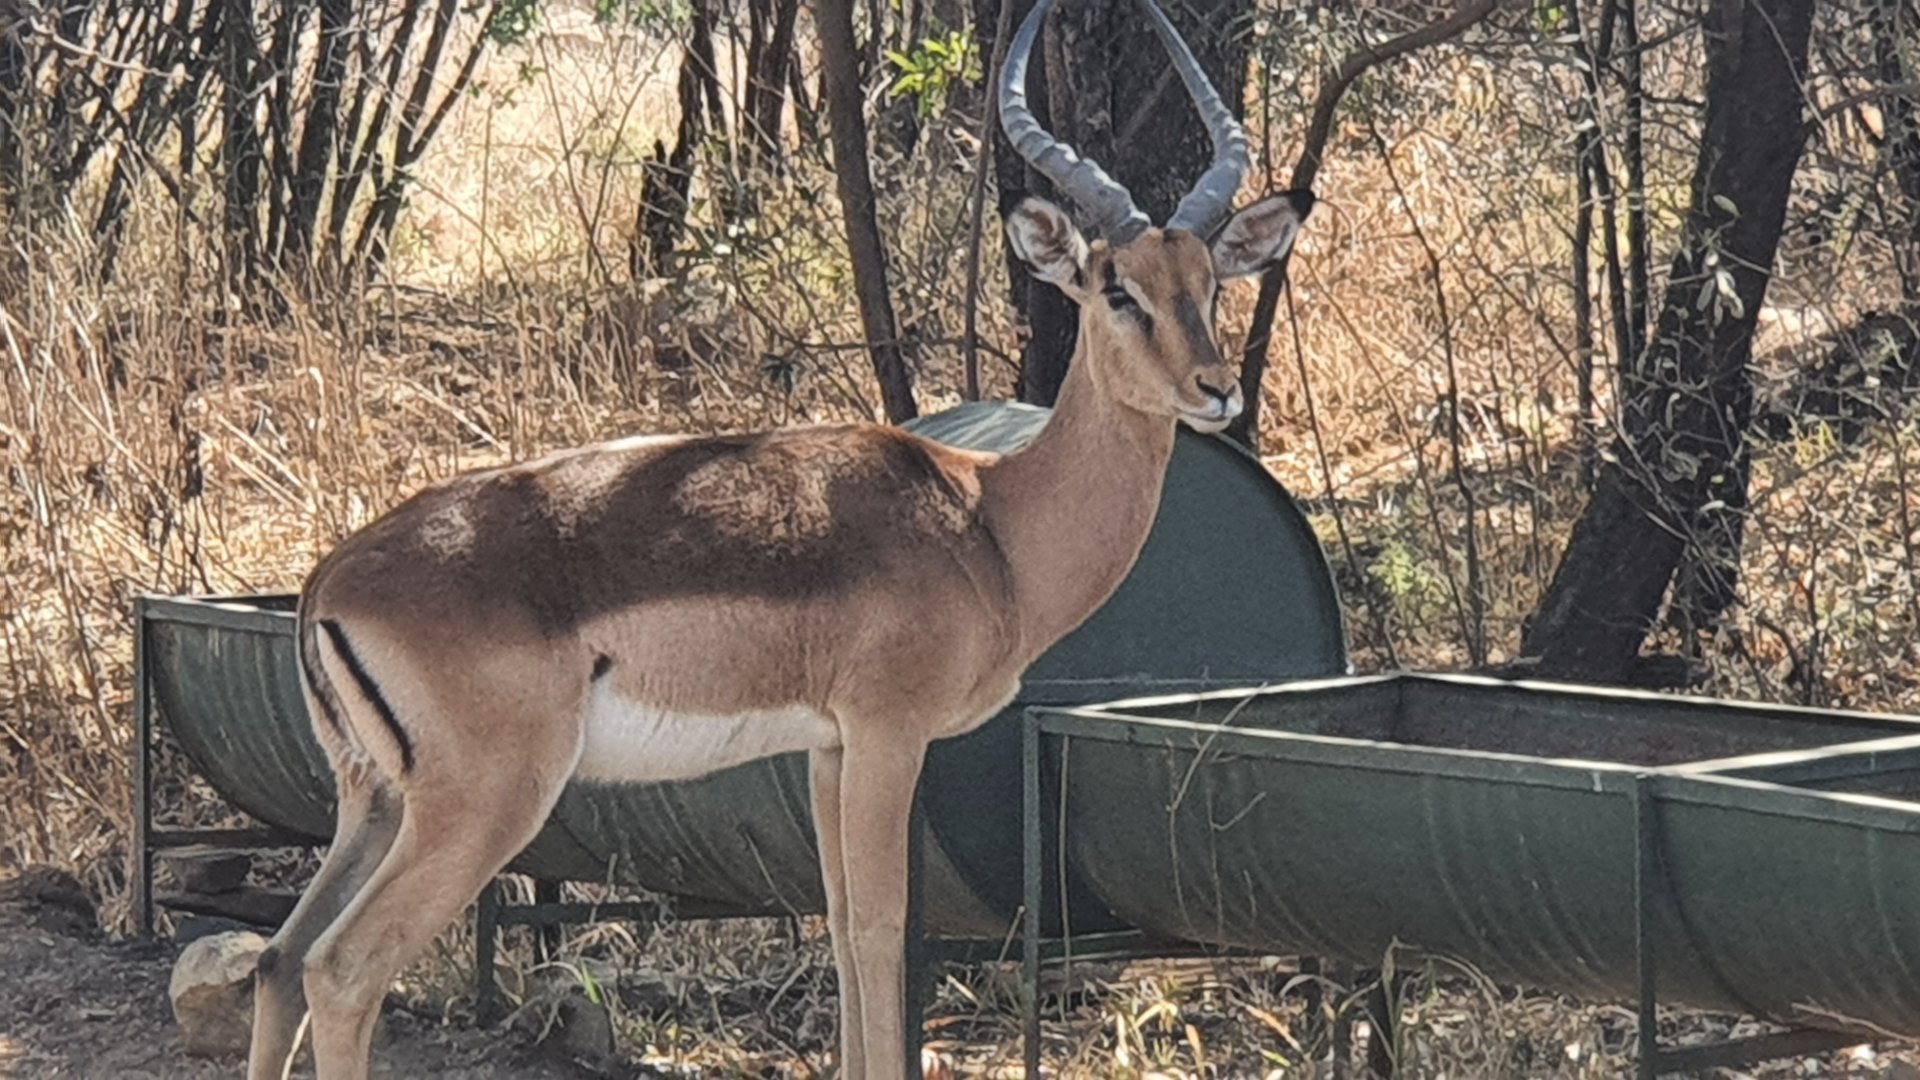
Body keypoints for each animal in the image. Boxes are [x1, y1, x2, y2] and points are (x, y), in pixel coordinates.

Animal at [245, 0, 1310, 1076]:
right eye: (1113, 286)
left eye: (1210, 282)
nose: (1218, 390)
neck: (990, 523)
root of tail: (330, 579)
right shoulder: (887, 734)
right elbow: (881, 929)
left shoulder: (827, 748)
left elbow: (838, 926)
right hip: (482, 803)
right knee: (345, 968)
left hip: (374, 802)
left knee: (281, 960)